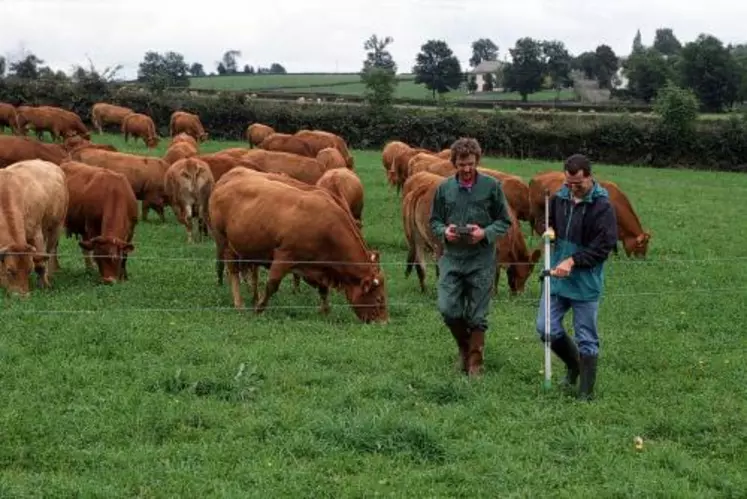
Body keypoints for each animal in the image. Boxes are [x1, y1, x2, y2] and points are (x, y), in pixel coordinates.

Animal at [0, 159, 68, 296]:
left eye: (28, 270)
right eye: (9, 270)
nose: (23, 296)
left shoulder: (36, 234)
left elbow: (40, 263)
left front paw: (44, 284)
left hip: (56, 226)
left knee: (50, 252)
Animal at [209, 169, 388, 324]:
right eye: (379, 298)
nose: (384, 322)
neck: (327, 227)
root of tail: (225, 180)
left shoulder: (315, 267)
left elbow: (323, 288)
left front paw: (325, 310)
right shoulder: (284, 256)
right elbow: (272, 285)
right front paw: (259, 308)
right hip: (225, 243)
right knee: (233, 271)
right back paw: (239, 303)